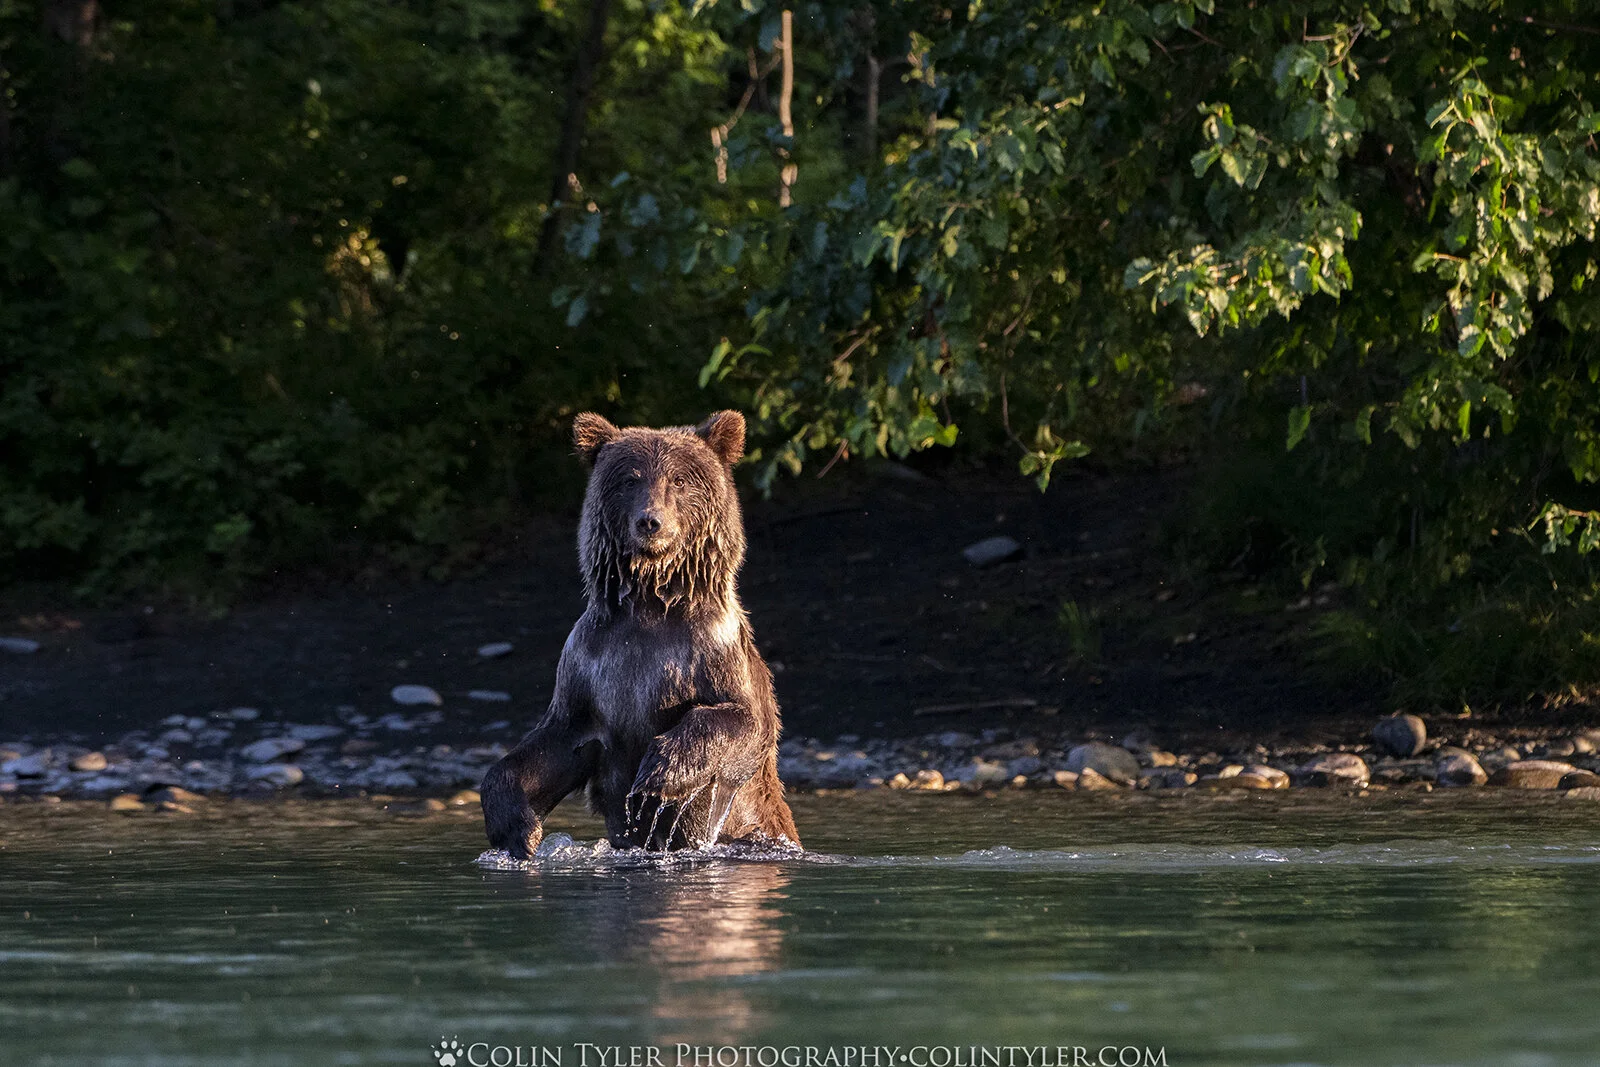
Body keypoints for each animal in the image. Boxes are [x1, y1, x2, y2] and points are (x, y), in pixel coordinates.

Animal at [480, 409, 800, 858]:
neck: (651, 605)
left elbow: (743, 720)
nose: (650, 521)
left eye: (680, 480)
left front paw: (657, 773)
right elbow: (554, 742)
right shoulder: (591, 661)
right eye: (630, 480)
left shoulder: (711, 648)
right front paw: (519, 830)